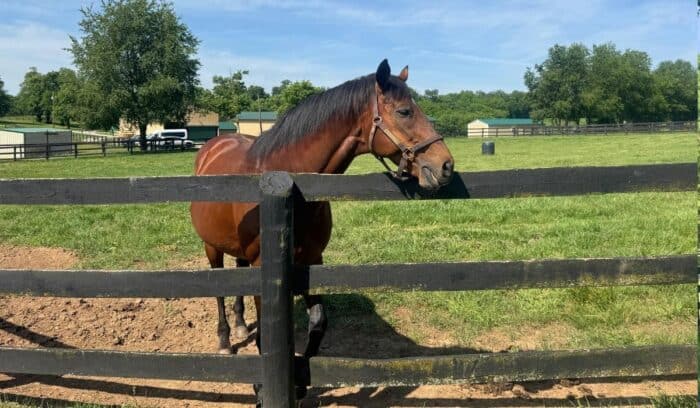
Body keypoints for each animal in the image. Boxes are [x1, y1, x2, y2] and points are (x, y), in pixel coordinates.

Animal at [189, 59, 454, 399]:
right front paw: (261, 389)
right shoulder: (266, 264)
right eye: (405, 111)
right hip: (211, 248)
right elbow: (265, 331)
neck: (293, 185)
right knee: (219, 291)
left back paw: (238, 325)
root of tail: (213, 146)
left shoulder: (312, 260)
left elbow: (318, 322)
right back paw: (224, 339)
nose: (445, 165)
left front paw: (301, 381)